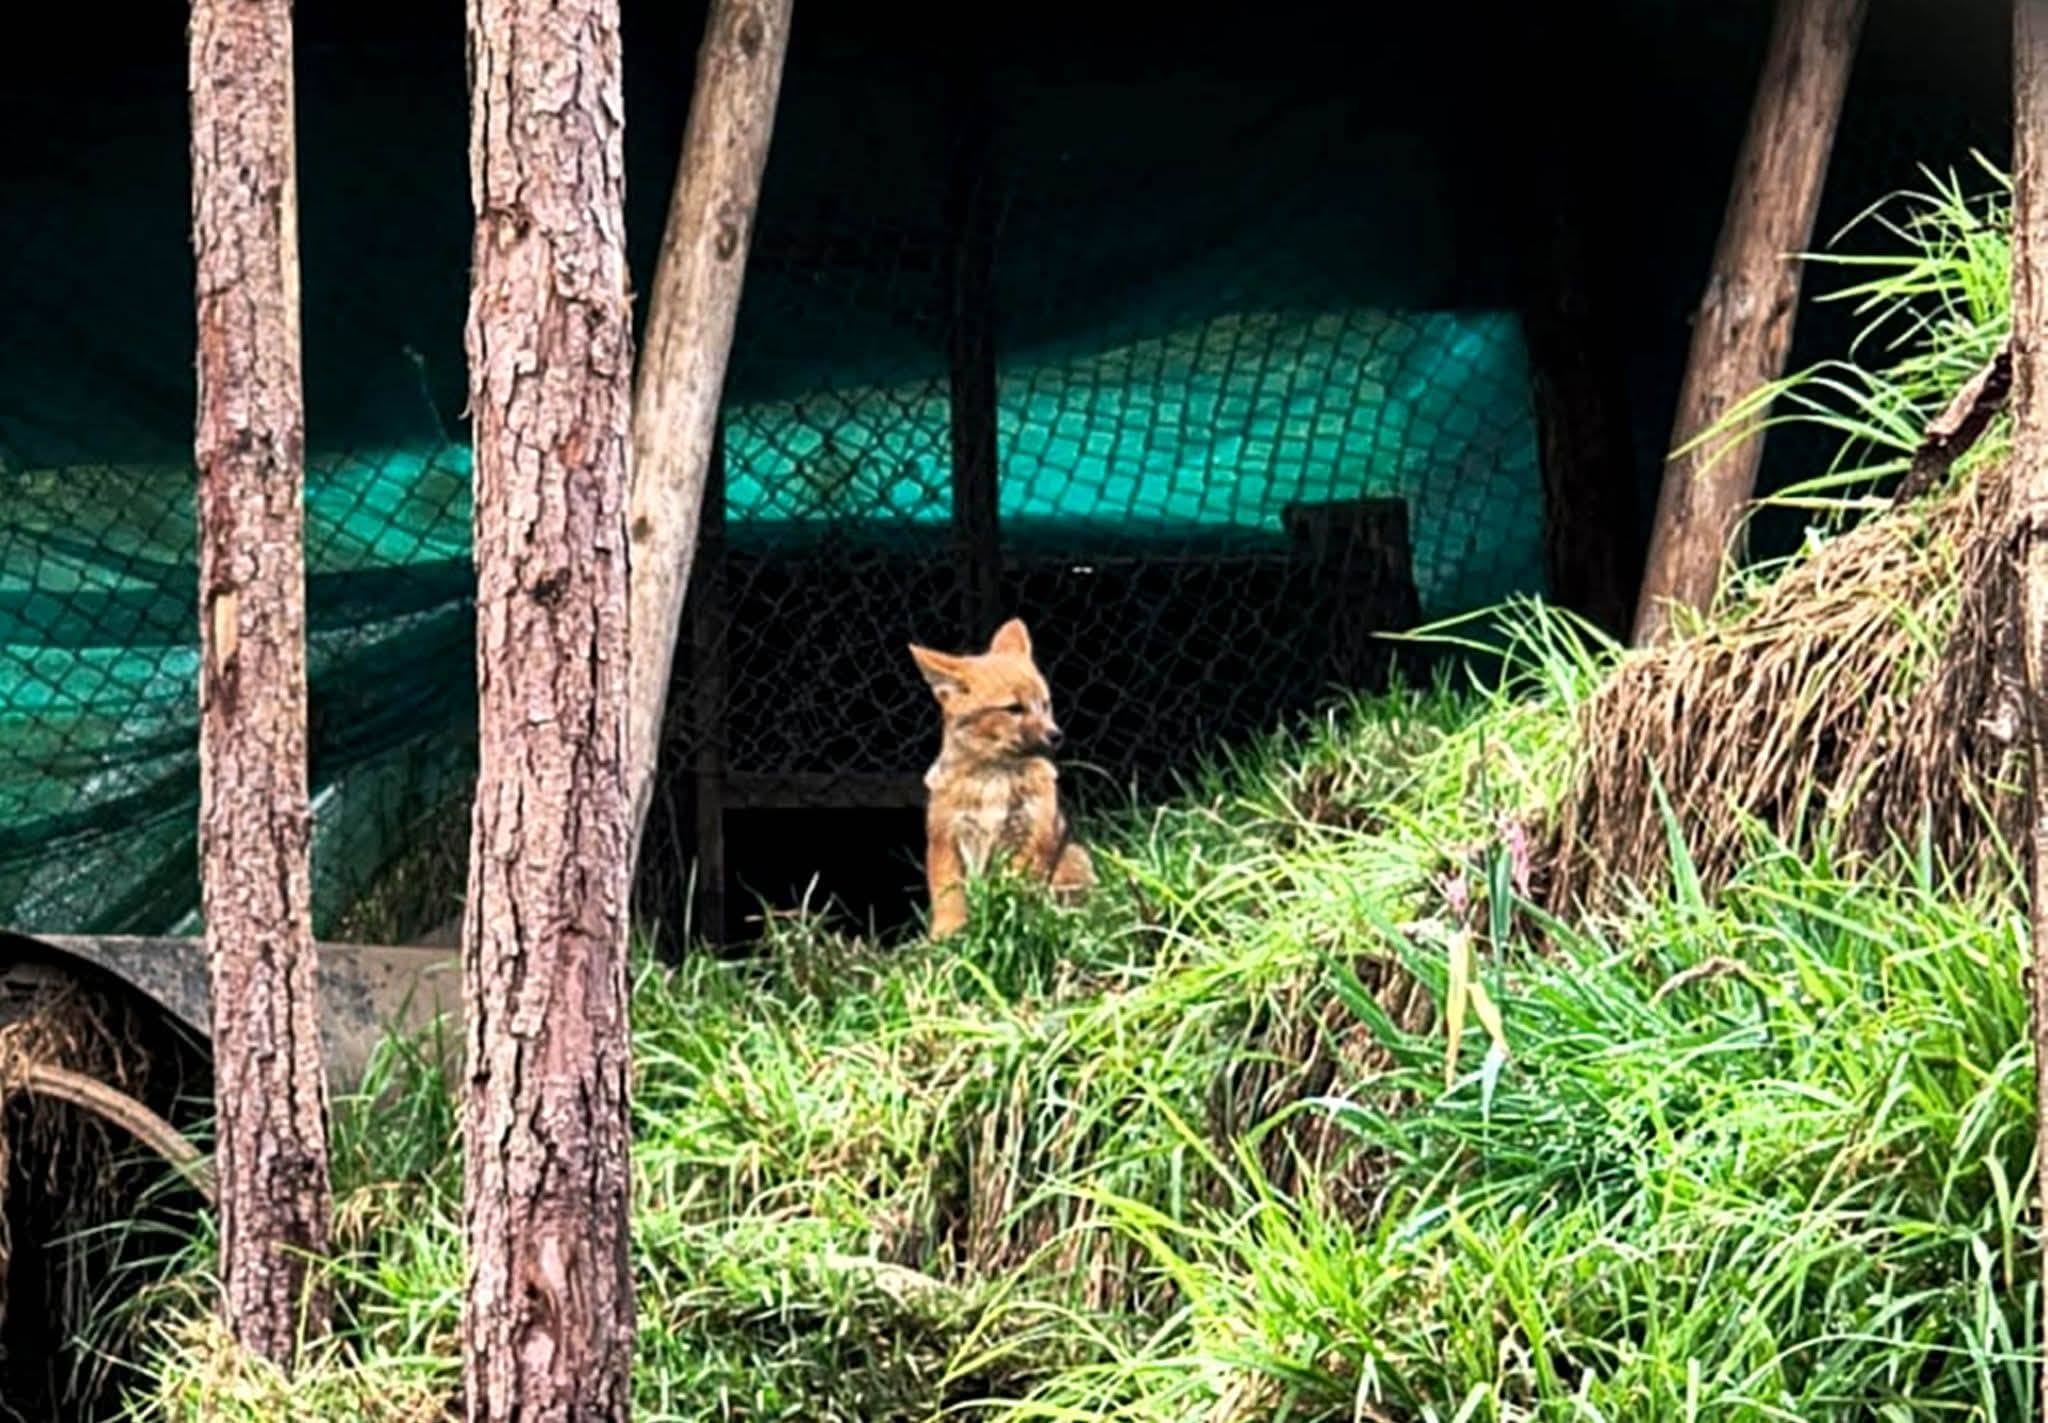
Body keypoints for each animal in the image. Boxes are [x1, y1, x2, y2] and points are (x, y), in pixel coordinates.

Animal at [907, 617, 1095, 939]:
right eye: (1013, 708)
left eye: (1045, 704)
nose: (1056, 735)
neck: (993, 778)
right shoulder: (946, 838)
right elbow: (948, 898)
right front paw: (946, 936)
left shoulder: (1028, 839)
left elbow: (1015, 893)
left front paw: (1014, 927)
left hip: (1073, 859)